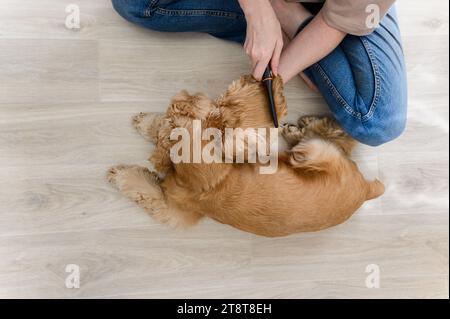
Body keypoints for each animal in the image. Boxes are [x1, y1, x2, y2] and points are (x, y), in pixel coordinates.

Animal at [108, 75, 384, 238]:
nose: (186, 94)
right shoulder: (174, 204)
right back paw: (299, 128)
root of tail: (366, 189)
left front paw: (120, 171)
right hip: (325, 153)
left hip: (319, 155)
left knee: (332, 142)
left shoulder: (178, 211)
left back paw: (299, 135)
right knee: (340, 141)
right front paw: (146, 124)